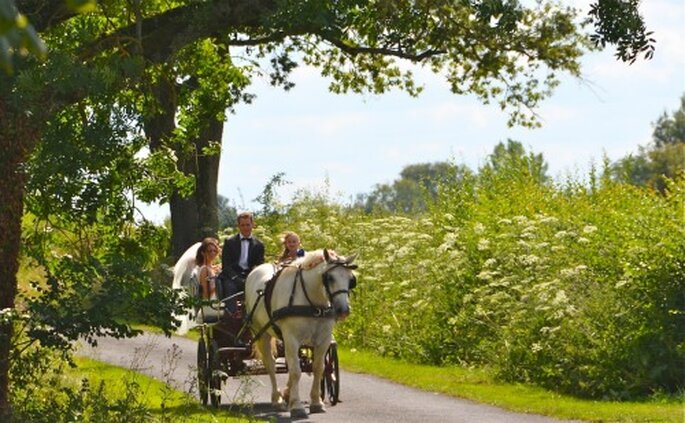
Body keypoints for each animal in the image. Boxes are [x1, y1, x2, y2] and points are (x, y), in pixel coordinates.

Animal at [243, 250, 356, 420]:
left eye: (351, 279)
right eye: (329, 277)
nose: (343, 310)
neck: (312, 303)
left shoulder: (323, 339)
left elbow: (318, 368)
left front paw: (316, 402)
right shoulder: (291, 338)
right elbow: (296, 371)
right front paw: (296, 406)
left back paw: (287, 394)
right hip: (262, 333)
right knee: (270, 364)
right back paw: (277, 399)